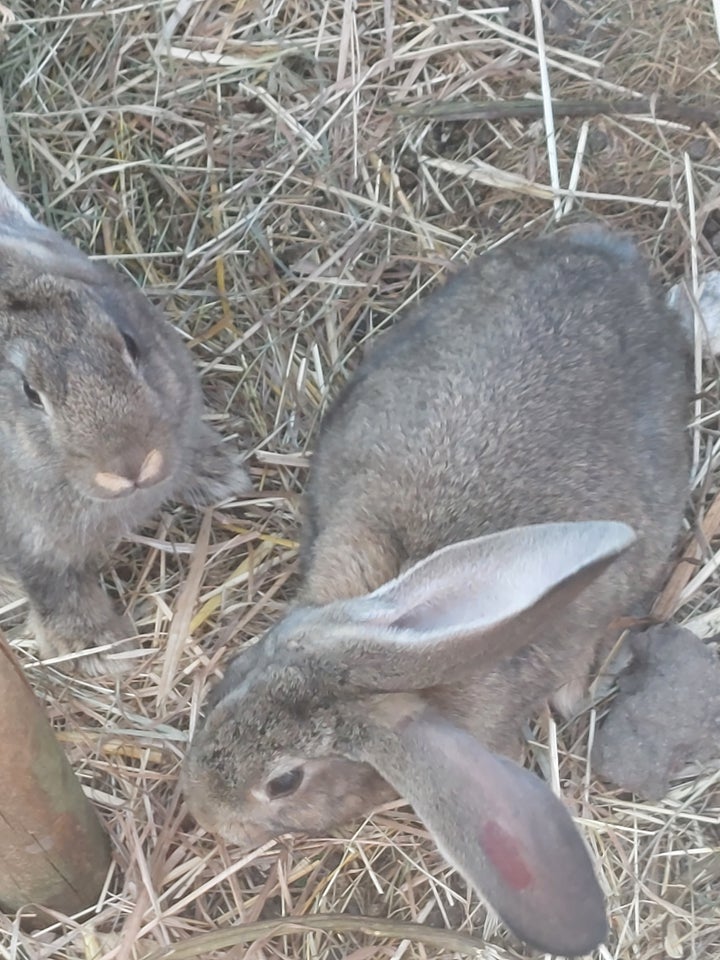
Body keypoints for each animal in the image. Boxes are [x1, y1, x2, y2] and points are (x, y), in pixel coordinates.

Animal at [0, 178, 253, 676]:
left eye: (131, 344)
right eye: (29, 392)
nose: (133, 465)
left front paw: (220, 474)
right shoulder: (27, 543)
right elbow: (54, 586)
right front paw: (100, 649)